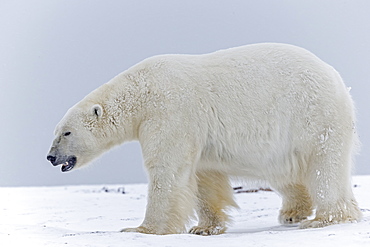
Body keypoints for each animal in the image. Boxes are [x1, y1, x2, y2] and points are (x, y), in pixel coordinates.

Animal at [46, 43, 362, 235]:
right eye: (56, 131)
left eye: (66, 132)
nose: (50, 156)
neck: (141, 92)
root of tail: (338, 81)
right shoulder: (197, 131)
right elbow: (204, 175)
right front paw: (205, 228)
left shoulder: (170, 112)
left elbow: (167, 171)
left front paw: (142, 229)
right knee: (286, 172)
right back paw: (293, 213)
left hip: (313, 118)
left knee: (324, 168)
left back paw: (325, 218)